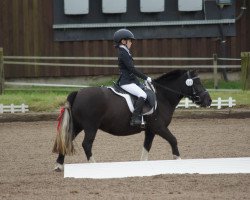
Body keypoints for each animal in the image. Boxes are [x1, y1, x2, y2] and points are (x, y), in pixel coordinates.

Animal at [52, 69, 211, 171]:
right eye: (198, 83)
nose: (208, 101)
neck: (162, 96)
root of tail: (78, 93)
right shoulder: (159, 127)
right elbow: (173, 140)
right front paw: (178, 160)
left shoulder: (150, 130)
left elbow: (147, 147)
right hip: (91, 126)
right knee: (86, 144)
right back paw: (94, 165)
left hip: (78, 126)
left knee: (67, 140)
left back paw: (59, 165)